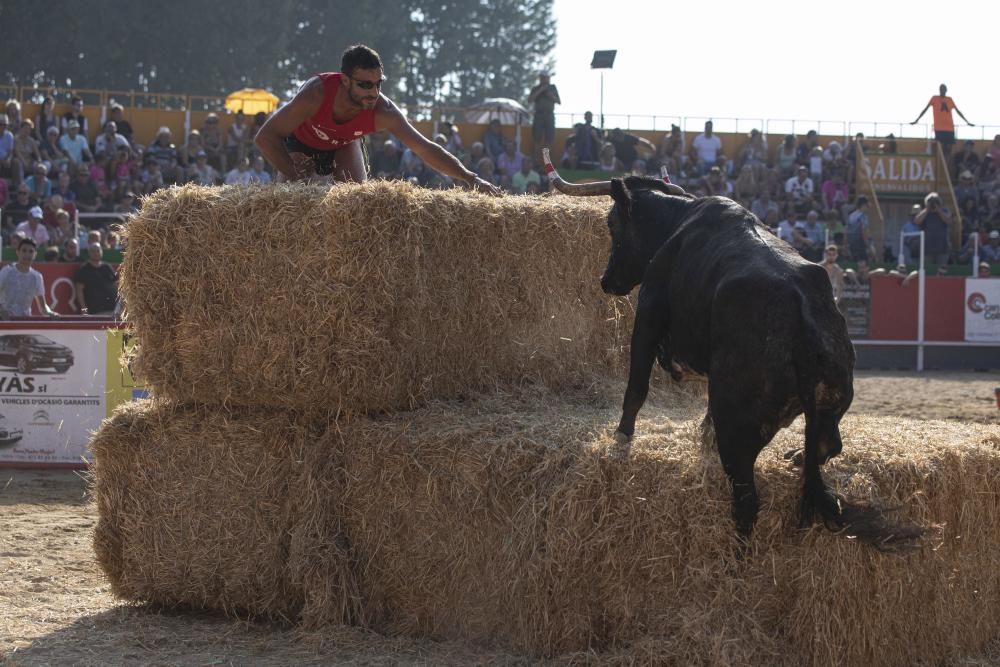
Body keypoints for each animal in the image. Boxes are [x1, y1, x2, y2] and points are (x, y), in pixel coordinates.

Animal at [548, 163, 920, 548]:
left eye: (611, 223)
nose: (605, 280)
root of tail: (801, 319)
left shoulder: (648, 314)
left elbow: (636, 388)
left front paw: (621, 438)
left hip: (738, 437)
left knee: (747, 502)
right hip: (829, 406)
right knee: (826, 447)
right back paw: (797, 457)